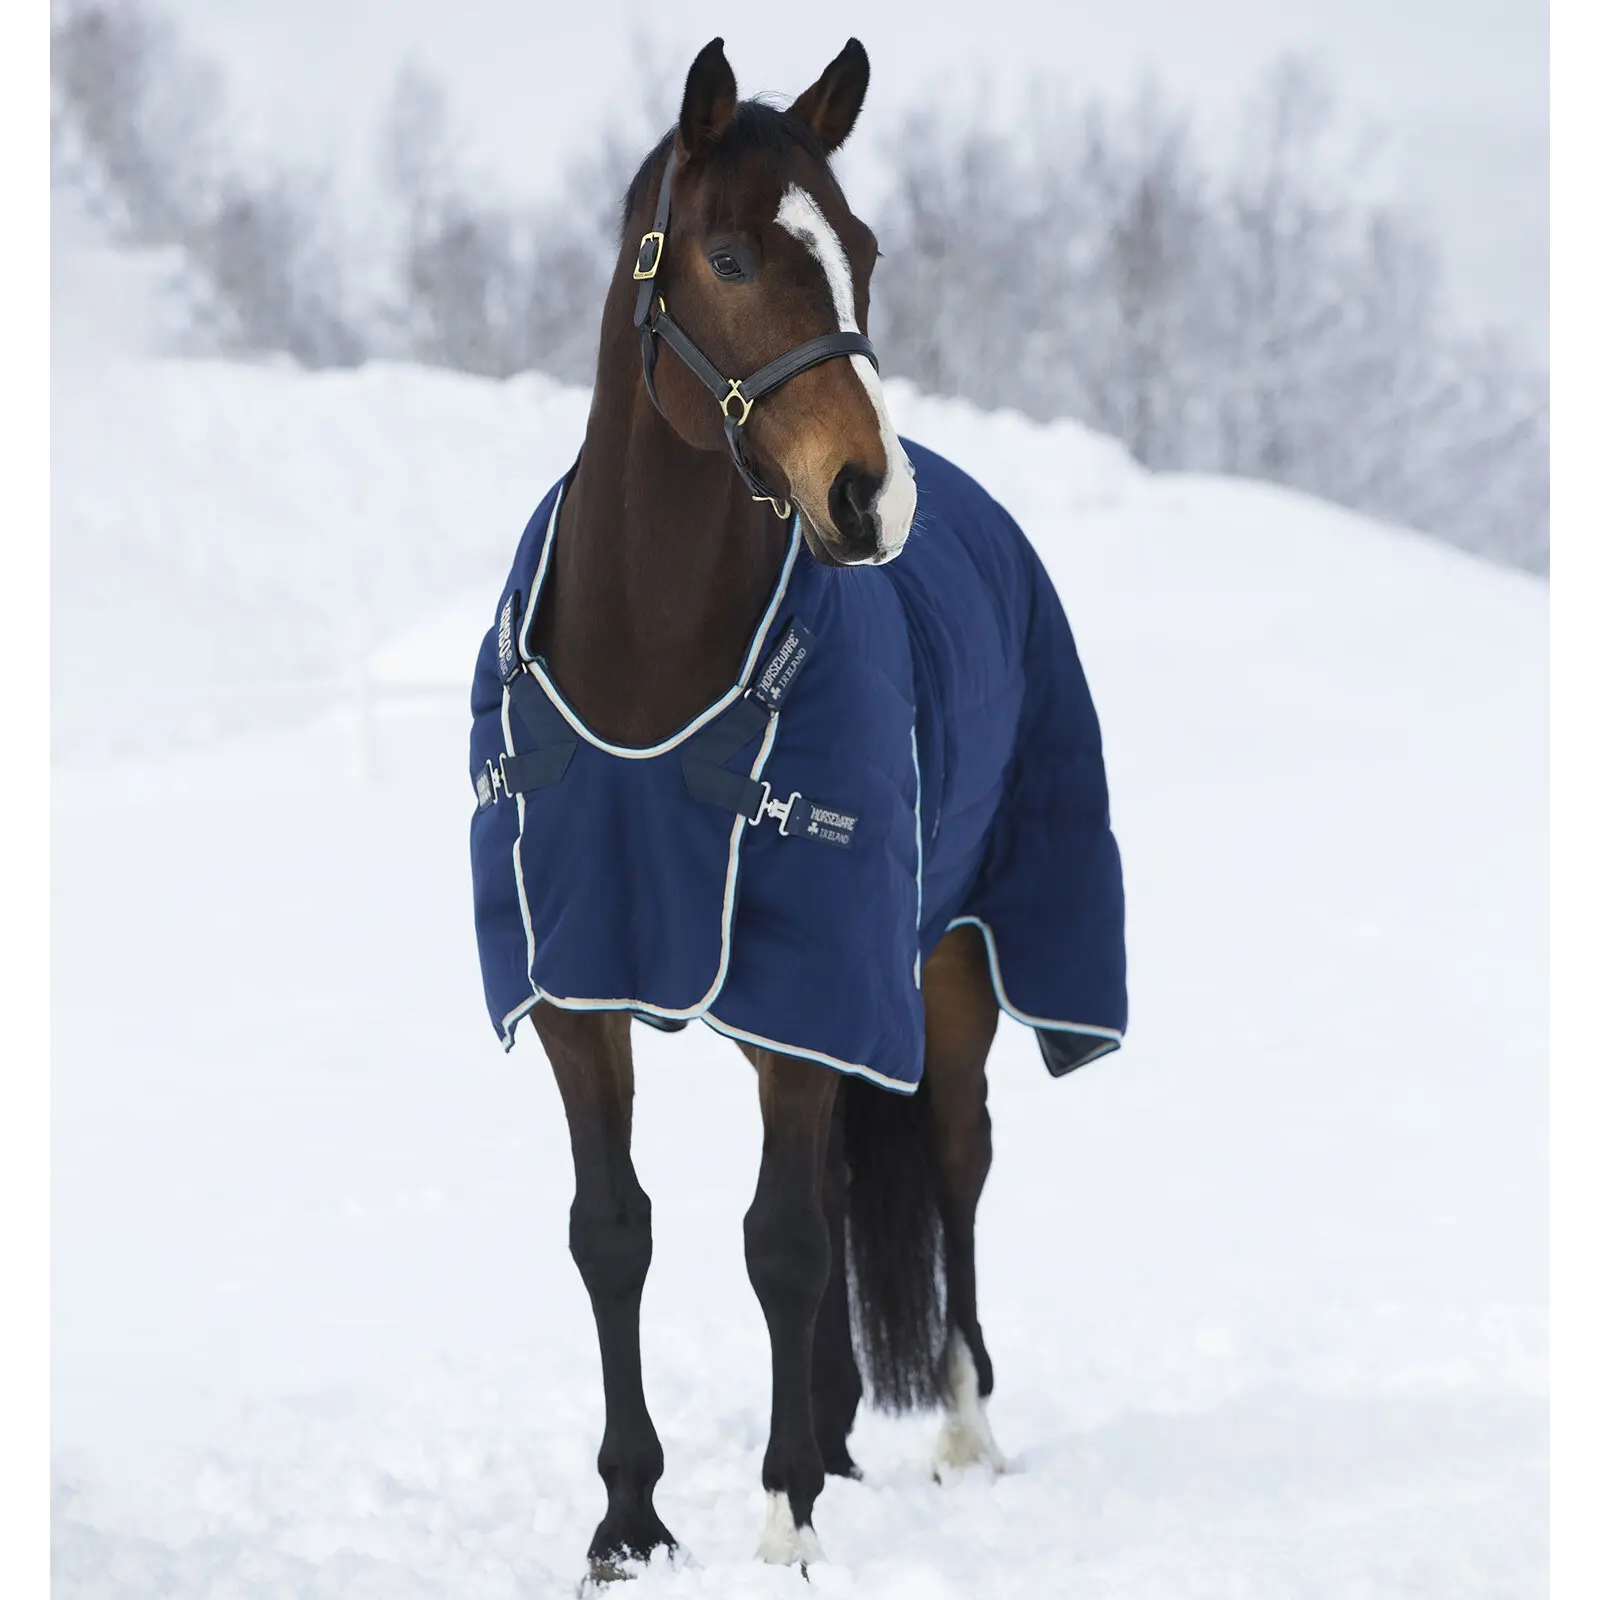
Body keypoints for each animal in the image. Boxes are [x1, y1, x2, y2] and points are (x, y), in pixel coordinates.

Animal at [467, 36, 1127, 1581]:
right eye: (723, 254)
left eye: (862, 250)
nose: (867, 494)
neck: (649, 660)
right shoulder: (582, 986)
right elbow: (615, 1233)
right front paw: (629, 1523)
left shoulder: (811, 985)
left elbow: (778, 1241)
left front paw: (780, 1523)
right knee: (836, 1194)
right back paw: (831, 1436)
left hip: (946, 964)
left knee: (952, 1163)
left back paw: (956, 1431)